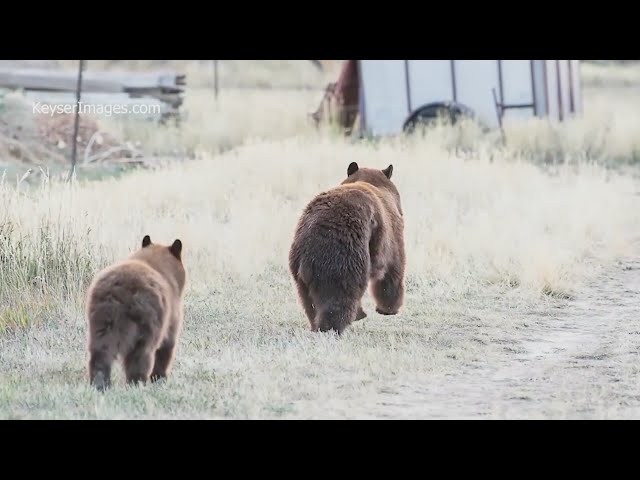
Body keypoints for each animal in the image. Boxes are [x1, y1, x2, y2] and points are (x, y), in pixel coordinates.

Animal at [85, 235, 186, 390]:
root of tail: (119, 293)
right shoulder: (172, 313)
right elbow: (167, 345)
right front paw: (160, 378)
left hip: (101, 317)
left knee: (101, 350)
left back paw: (100, 383)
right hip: (147, 318)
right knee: (141, 352)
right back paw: (137, 382)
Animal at [288, 161, 404, 334]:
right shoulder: (391, 233)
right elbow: (394, 268)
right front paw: (389, 308)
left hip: (299, 268)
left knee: (309, 301)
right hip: (346, 256)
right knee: (340, 296)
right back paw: (335, 325)